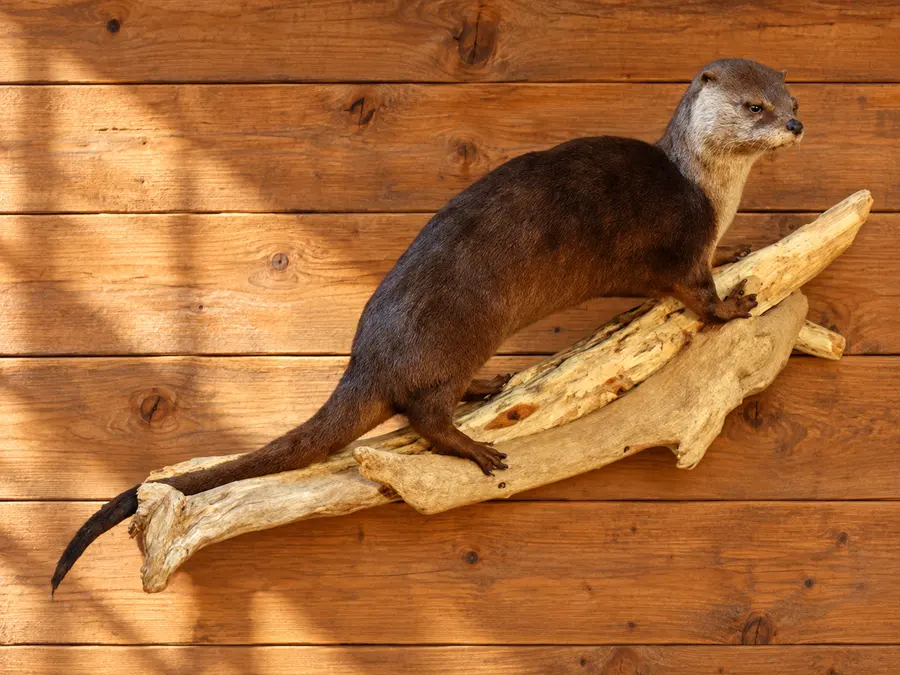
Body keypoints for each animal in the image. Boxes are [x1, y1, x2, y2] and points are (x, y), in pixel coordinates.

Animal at [52, 58, 803, 592]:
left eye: (791, 99)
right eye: (753, 106)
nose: (795, 126)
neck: (707, 189)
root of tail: (368, 356)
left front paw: (742, 249)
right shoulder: (681, 246)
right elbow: (695, 294)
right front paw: (736, 302)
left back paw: (488, 391)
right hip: (459, 330)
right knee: (421, 410)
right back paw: (475, 446)